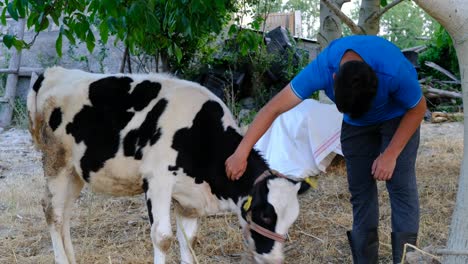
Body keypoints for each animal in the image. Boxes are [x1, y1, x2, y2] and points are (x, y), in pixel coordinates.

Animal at [28, 67, 314, 262]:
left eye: (291, 219)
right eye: (265, 215)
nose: (275, 259)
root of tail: (53, 72)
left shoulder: (189, 199)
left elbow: (188, 241)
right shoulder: (158, 182)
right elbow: (163, 238)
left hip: (75, 171)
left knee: (64, 213)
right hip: (55, 163)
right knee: (52, 212)